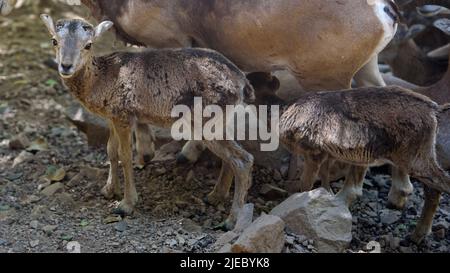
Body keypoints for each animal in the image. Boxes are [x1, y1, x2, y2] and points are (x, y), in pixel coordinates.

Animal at [40, 14, 255, 227]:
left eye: (88, 44)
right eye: (54, 40)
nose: (66, 65)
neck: (101, 80)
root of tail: (242, 82)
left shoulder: (123, 115)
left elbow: (125, 155)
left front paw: (125, 204)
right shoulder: (112, 117)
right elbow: (110, 150)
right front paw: (109, 191)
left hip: (206, 122)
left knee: (243, 159)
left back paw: (231, 221)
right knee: (230, 157)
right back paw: (214, 196)